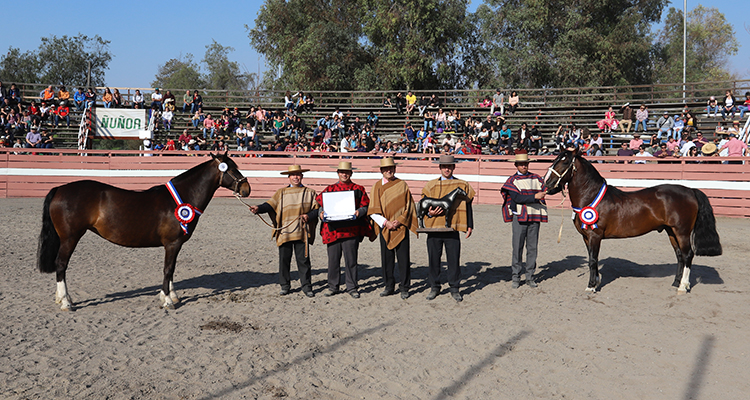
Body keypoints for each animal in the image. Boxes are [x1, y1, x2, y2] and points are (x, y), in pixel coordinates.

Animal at [37, 152, 253, 310]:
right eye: (230, 168)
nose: (246, 189)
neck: (182, 198)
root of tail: (60, 189)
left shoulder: (174, 245)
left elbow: (172, 269)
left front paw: (172, 296)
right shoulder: (172, 243)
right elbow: (168, 269)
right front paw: (167, 301)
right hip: (70, 238)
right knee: (61, 265)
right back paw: (66, 302)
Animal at [548, 148, 724, 292]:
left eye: (564, 162)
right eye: (555, 159)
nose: (547, 184)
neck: (591, 197)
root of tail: (691, 190)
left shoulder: (594, 236)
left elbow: (592, 260)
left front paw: (591, 286)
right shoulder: (586, 237)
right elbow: (594, 259)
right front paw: (596, 282)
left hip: (682, 232)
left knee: (688, 255)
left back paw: (682, 286)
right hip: (672, 232)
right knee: (680, 256)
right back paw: (675, 283)